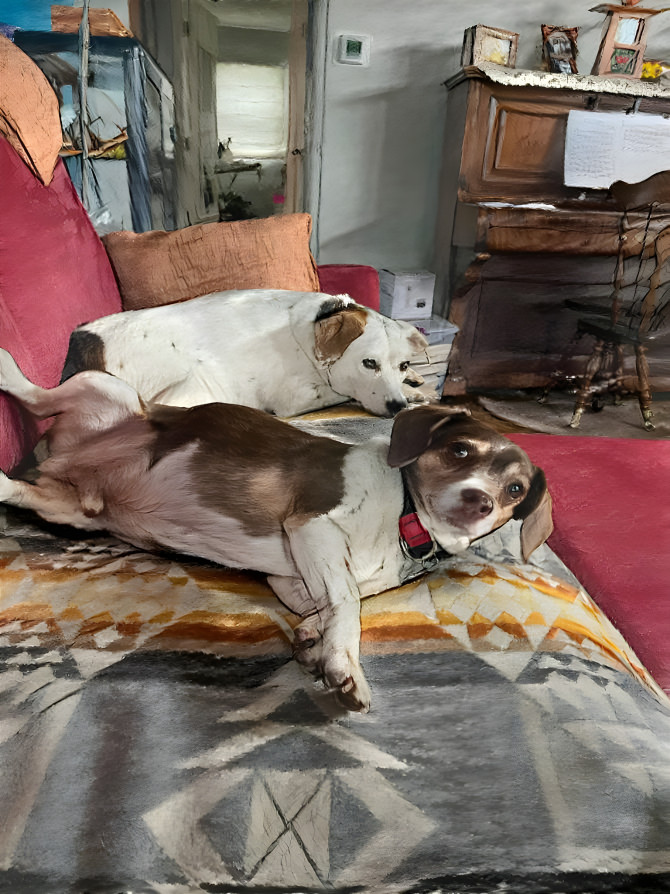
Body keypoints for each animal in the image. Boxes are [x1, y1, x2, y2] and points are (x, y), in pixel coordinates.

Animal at [0, 348, 552, 712]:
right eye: (460, 451)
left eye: (516, 490)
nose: (480, 501)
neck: (404, 515)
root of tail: (57, 459)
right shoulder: (312, 526)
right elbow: (349, 601)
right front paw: (344, 665)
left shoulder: (290, 578)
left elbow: (336, 599)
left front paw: (313, 636)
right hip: (107, 387)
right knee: (36, 397)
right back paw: (9, 368)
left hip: (71, 509)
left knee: (14, 488)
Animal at [63, 292, 430, 422]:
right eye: (369, 363)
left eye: (403, 364)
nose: (397, 407)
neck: (310, 327)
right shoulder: (297, 397)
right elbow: (343, 393)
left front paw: (413, 384)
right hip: (197, 381)